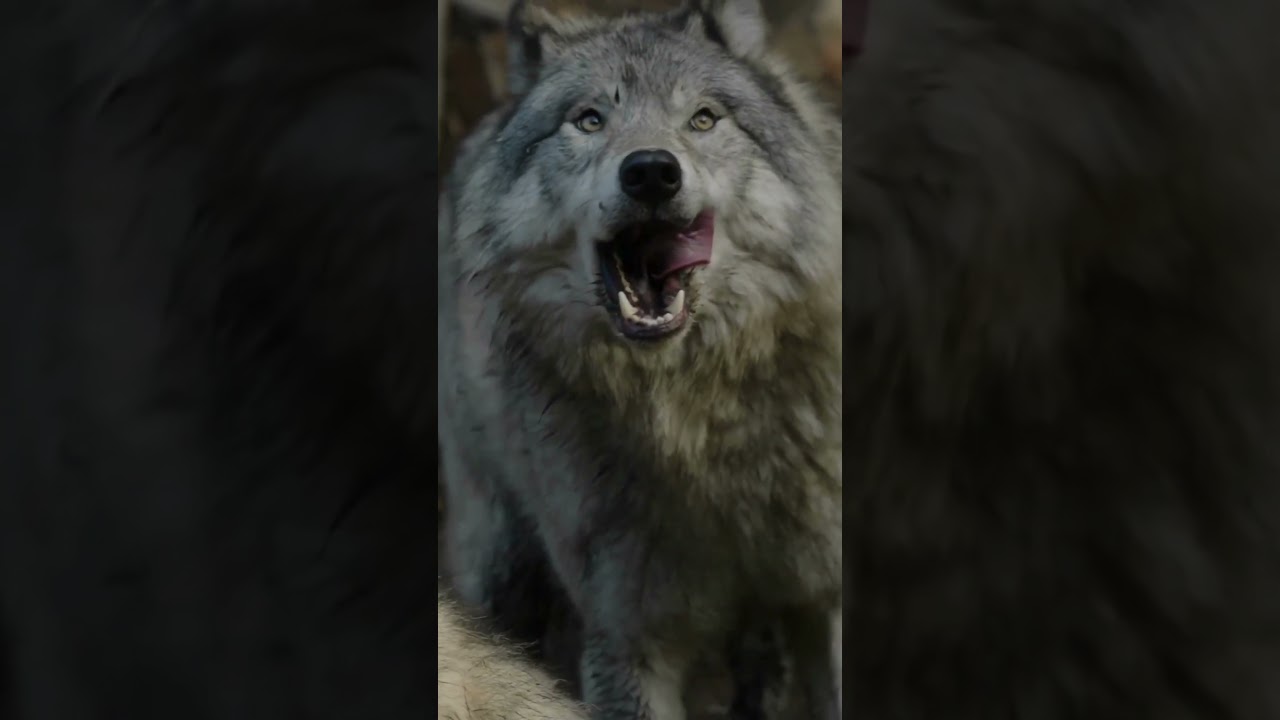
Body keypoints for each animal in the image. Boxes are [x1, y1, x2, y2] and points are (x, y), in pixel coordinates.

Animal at [437, 0, 842, 718]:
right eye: (589, 119)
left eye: (703, 118)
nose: (651, 170)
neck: (700, 421)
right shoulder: (629, 637)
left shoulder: (825, 595)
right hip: (497, 564)